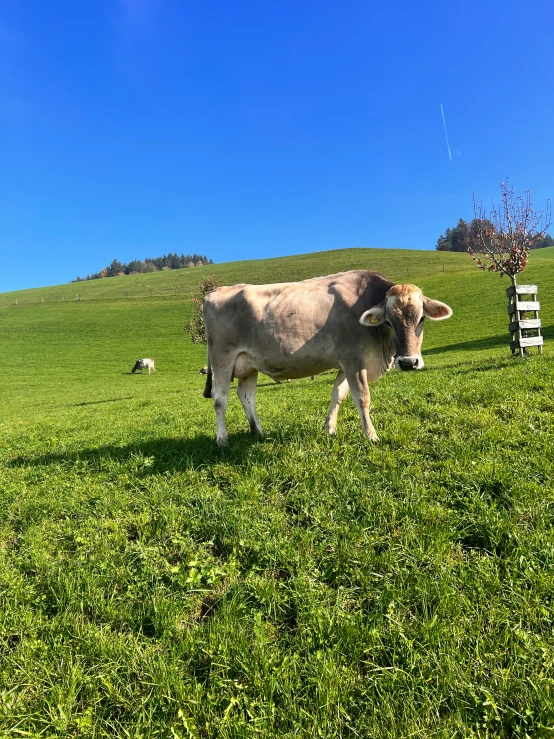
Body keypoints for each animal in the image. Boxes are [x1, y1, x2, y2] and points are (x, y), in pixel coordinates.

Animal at [201, 270, 450, 446]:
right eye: (388, 321)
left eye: (421, 319)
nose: (408, 362)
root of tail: (215, 292)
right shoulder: (353, 359)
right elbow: (362, 398)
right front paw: (371, 435)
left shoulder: (345, 363)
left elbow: (337, 395)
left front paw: (330, 429)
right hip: (223, 357)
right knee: (220, 398)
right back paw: (222, 439)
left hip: (248, 363)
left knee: (246, 396)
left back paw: (259, 432)